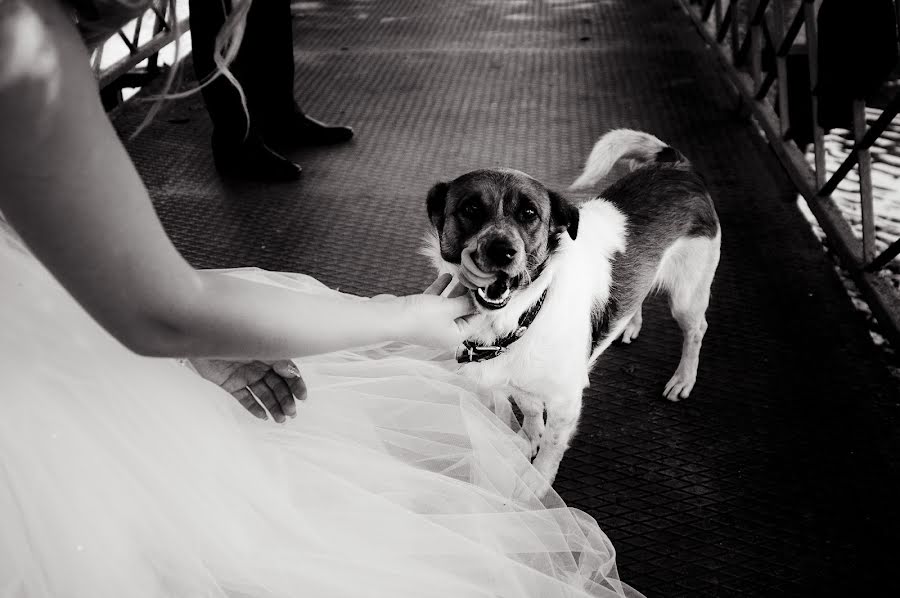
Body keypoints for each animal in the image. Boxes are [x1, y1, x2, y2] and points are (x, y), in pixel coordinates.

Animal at [424, 129, 724, 500]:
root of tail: (678, 166)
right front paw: (526, 440)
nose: (501, 251)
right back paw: (630, 325)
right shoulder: (520, 380)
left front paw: (537, 480)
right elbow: (531, 411)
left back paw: (684, 378)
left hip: (686, 295)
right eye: (470, 208)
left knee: (696, 330)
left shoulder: (566, 400)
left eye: (529, 213)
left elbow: (553, 443)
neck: (524, 314)